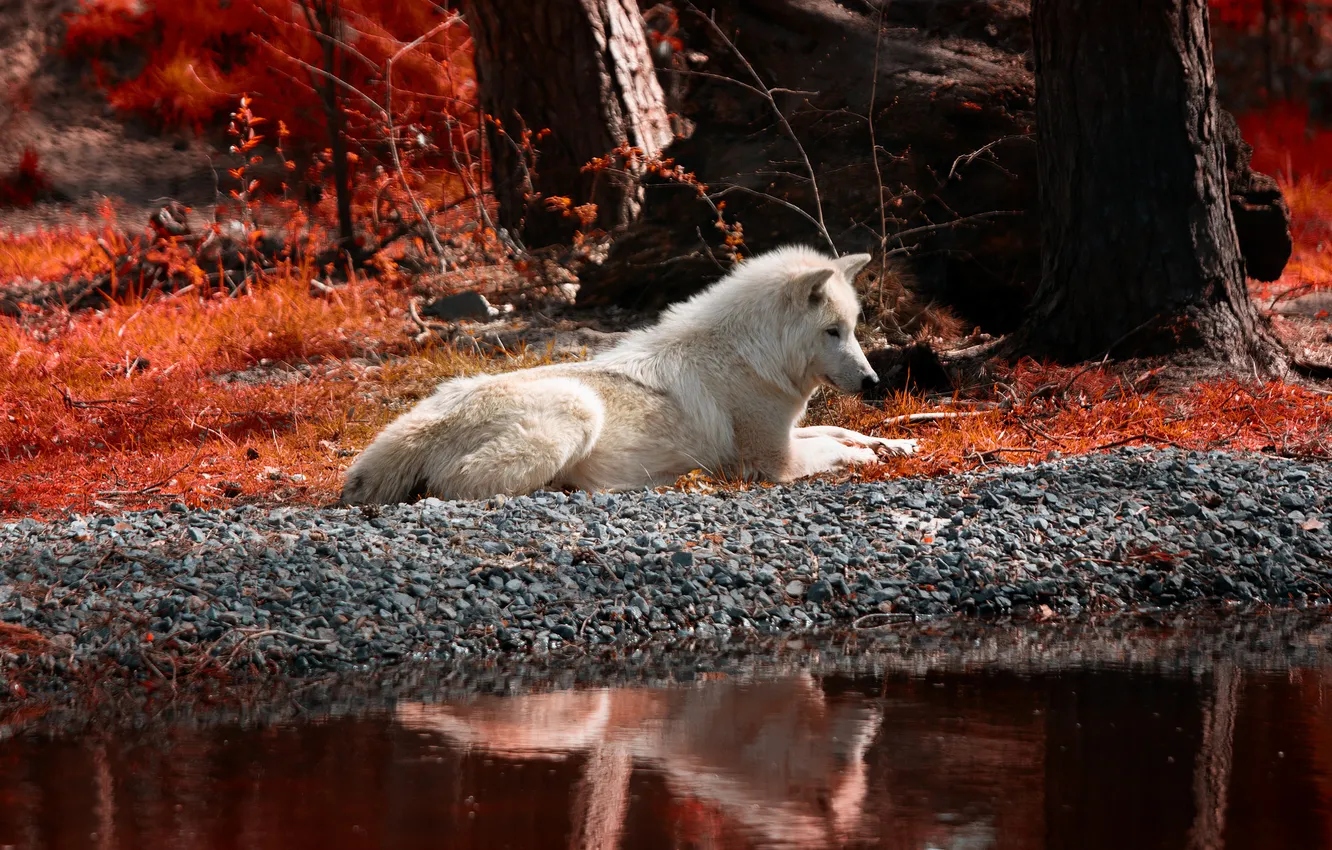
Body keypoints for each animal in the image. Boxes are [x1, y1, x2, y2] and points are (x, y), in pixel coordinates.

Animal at [341, 245, 917, 504]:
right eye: (832, 332)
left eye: (854, 328)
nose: (873, 383)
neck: (751, 355)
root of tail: (423, 424)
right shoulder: (775, 462)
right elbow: (832, 445)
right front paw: (867, 458)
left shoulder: (789, 430)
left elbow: (838, 428)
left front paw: (896, 444)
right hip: (577, 409)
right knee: (456, 488)